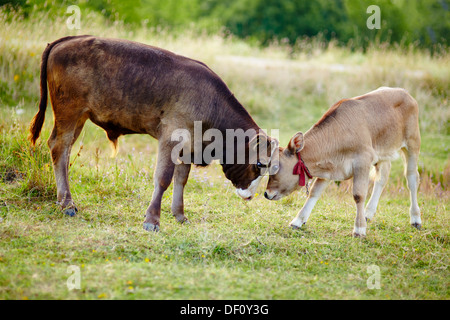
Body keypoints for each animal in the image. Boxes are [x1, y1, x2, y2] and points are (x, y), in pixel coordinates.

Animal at [264, 87, 422, 238]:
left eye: (276, 167)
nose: (266, 194)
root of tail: (404, 92)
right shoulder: (329, 168)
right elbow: (314, 192)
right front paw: (297, 220)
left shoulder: (363, 161)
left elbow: (359, 195)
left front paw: (359, 229)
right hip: (383, 152)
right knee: (382, 178)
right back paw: (368, 213)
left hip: (413, 142)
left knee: (412, 179)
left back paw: (415, 219)